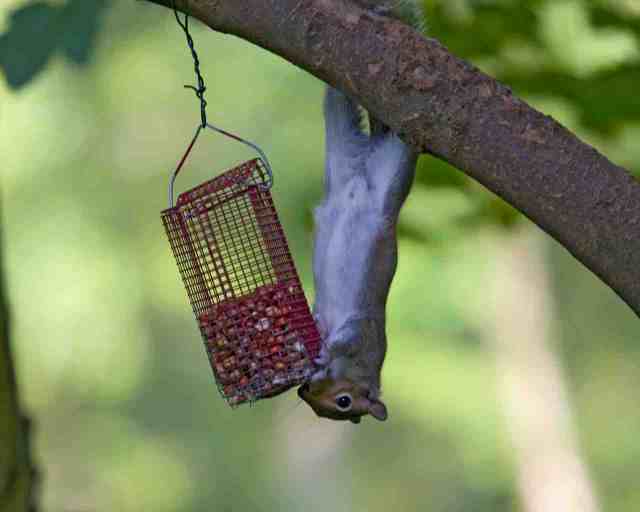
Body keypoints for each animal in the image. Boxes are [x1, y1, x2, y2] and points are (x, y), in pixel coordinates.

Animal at [298, 0, 423, 424]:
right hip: (396, 165)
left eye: (339, 406)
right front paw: (322, 349)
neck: (362, 367)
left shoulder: (358, 330)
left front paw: (319, 343)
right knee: (403, 139)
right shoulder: (364, 333)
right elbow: (342, 338)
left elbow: (335, 332)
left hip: (342, 149)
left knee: (337, 97)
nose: (303, 390)